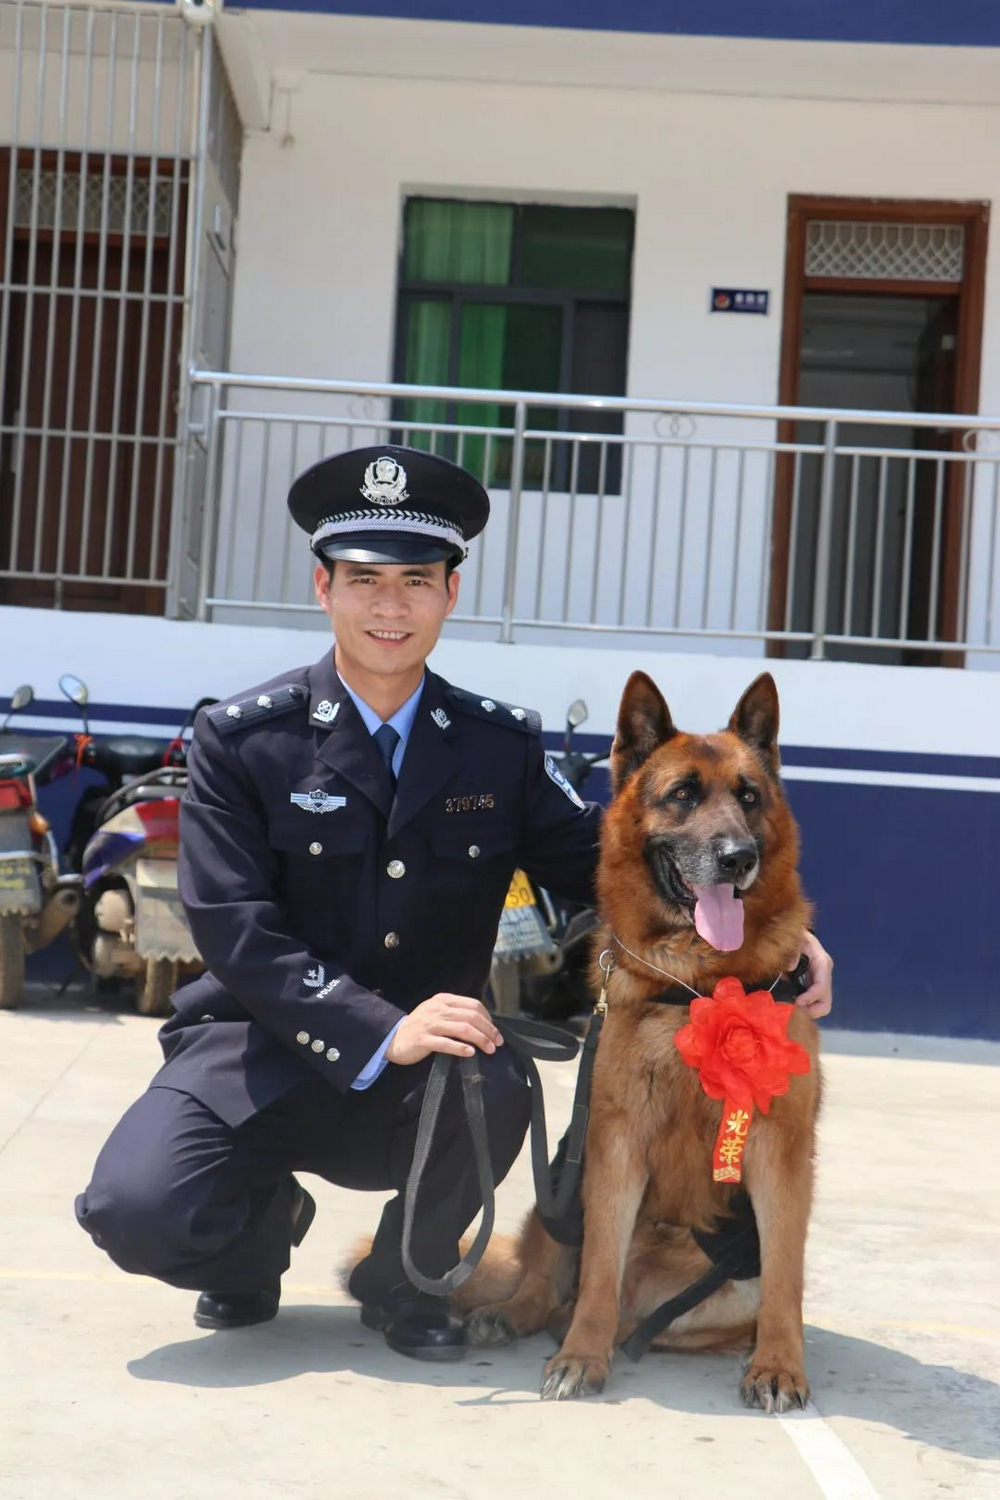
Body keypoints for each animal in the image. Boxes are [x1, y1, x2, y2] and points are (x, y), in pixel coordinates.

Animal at [461, 669, 821, 1404]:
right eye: (682, 794)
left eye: (749, 797)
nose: (738, 857)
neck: (698, 982)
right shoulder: (614, 1143)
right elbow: (598, 1264)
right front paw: (582, 1356)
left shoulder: (780, 1149)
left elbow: (786, 1279)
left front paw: (778, 1363)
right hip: (563, 1183)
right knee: (552, 1281)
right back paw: (524, 1316)